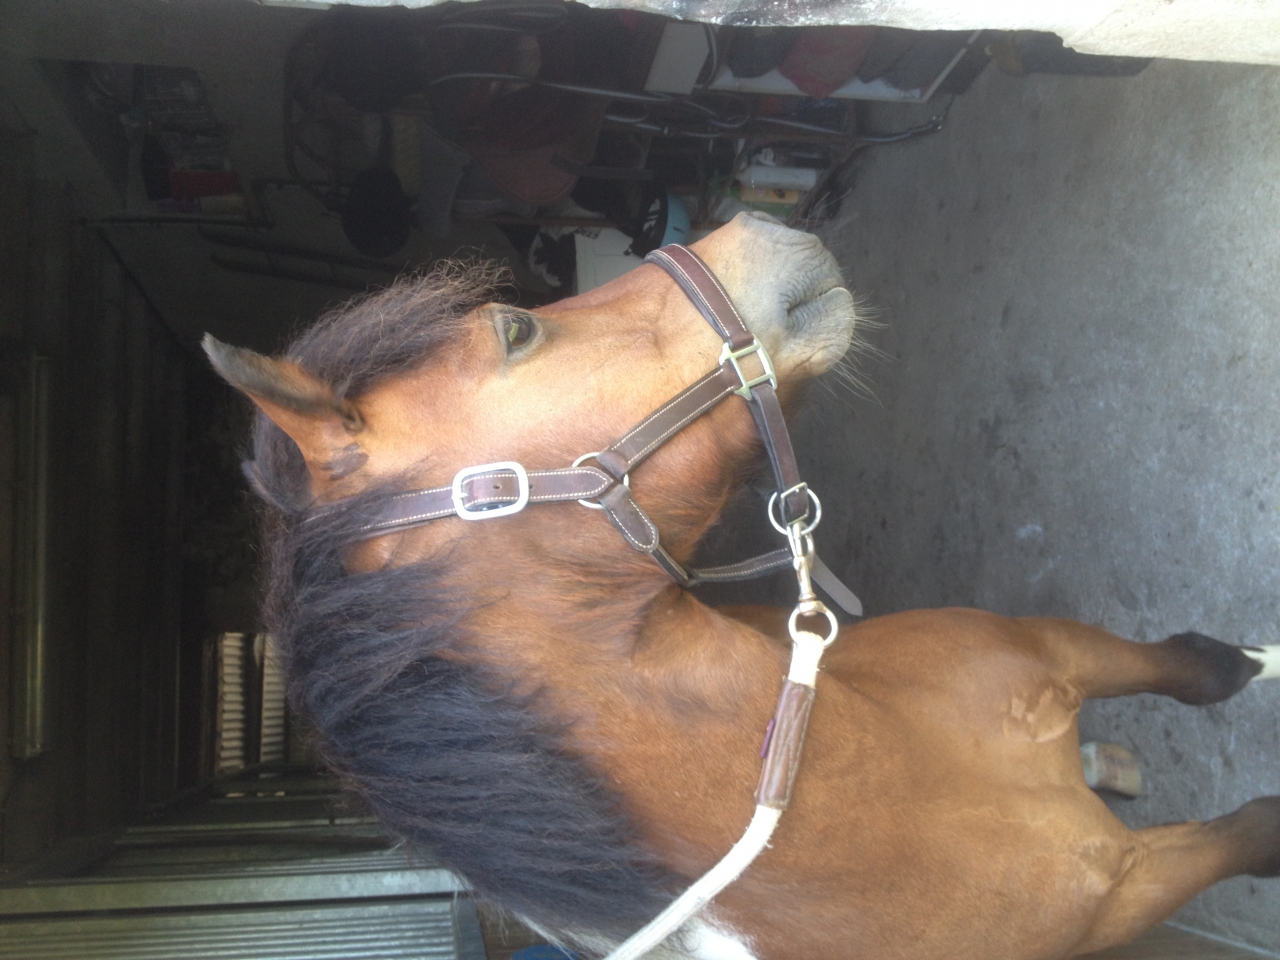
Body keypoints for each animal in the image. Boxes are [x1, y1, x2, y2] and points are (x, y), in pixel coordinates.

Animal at [204, 211, 1280, 960]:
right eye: (512, 329)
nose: (757, 227)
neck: (893, 778)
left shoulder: (1050, 646)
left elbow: (1198, 667)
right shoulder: (1131, 884)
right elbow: (1257, 824)